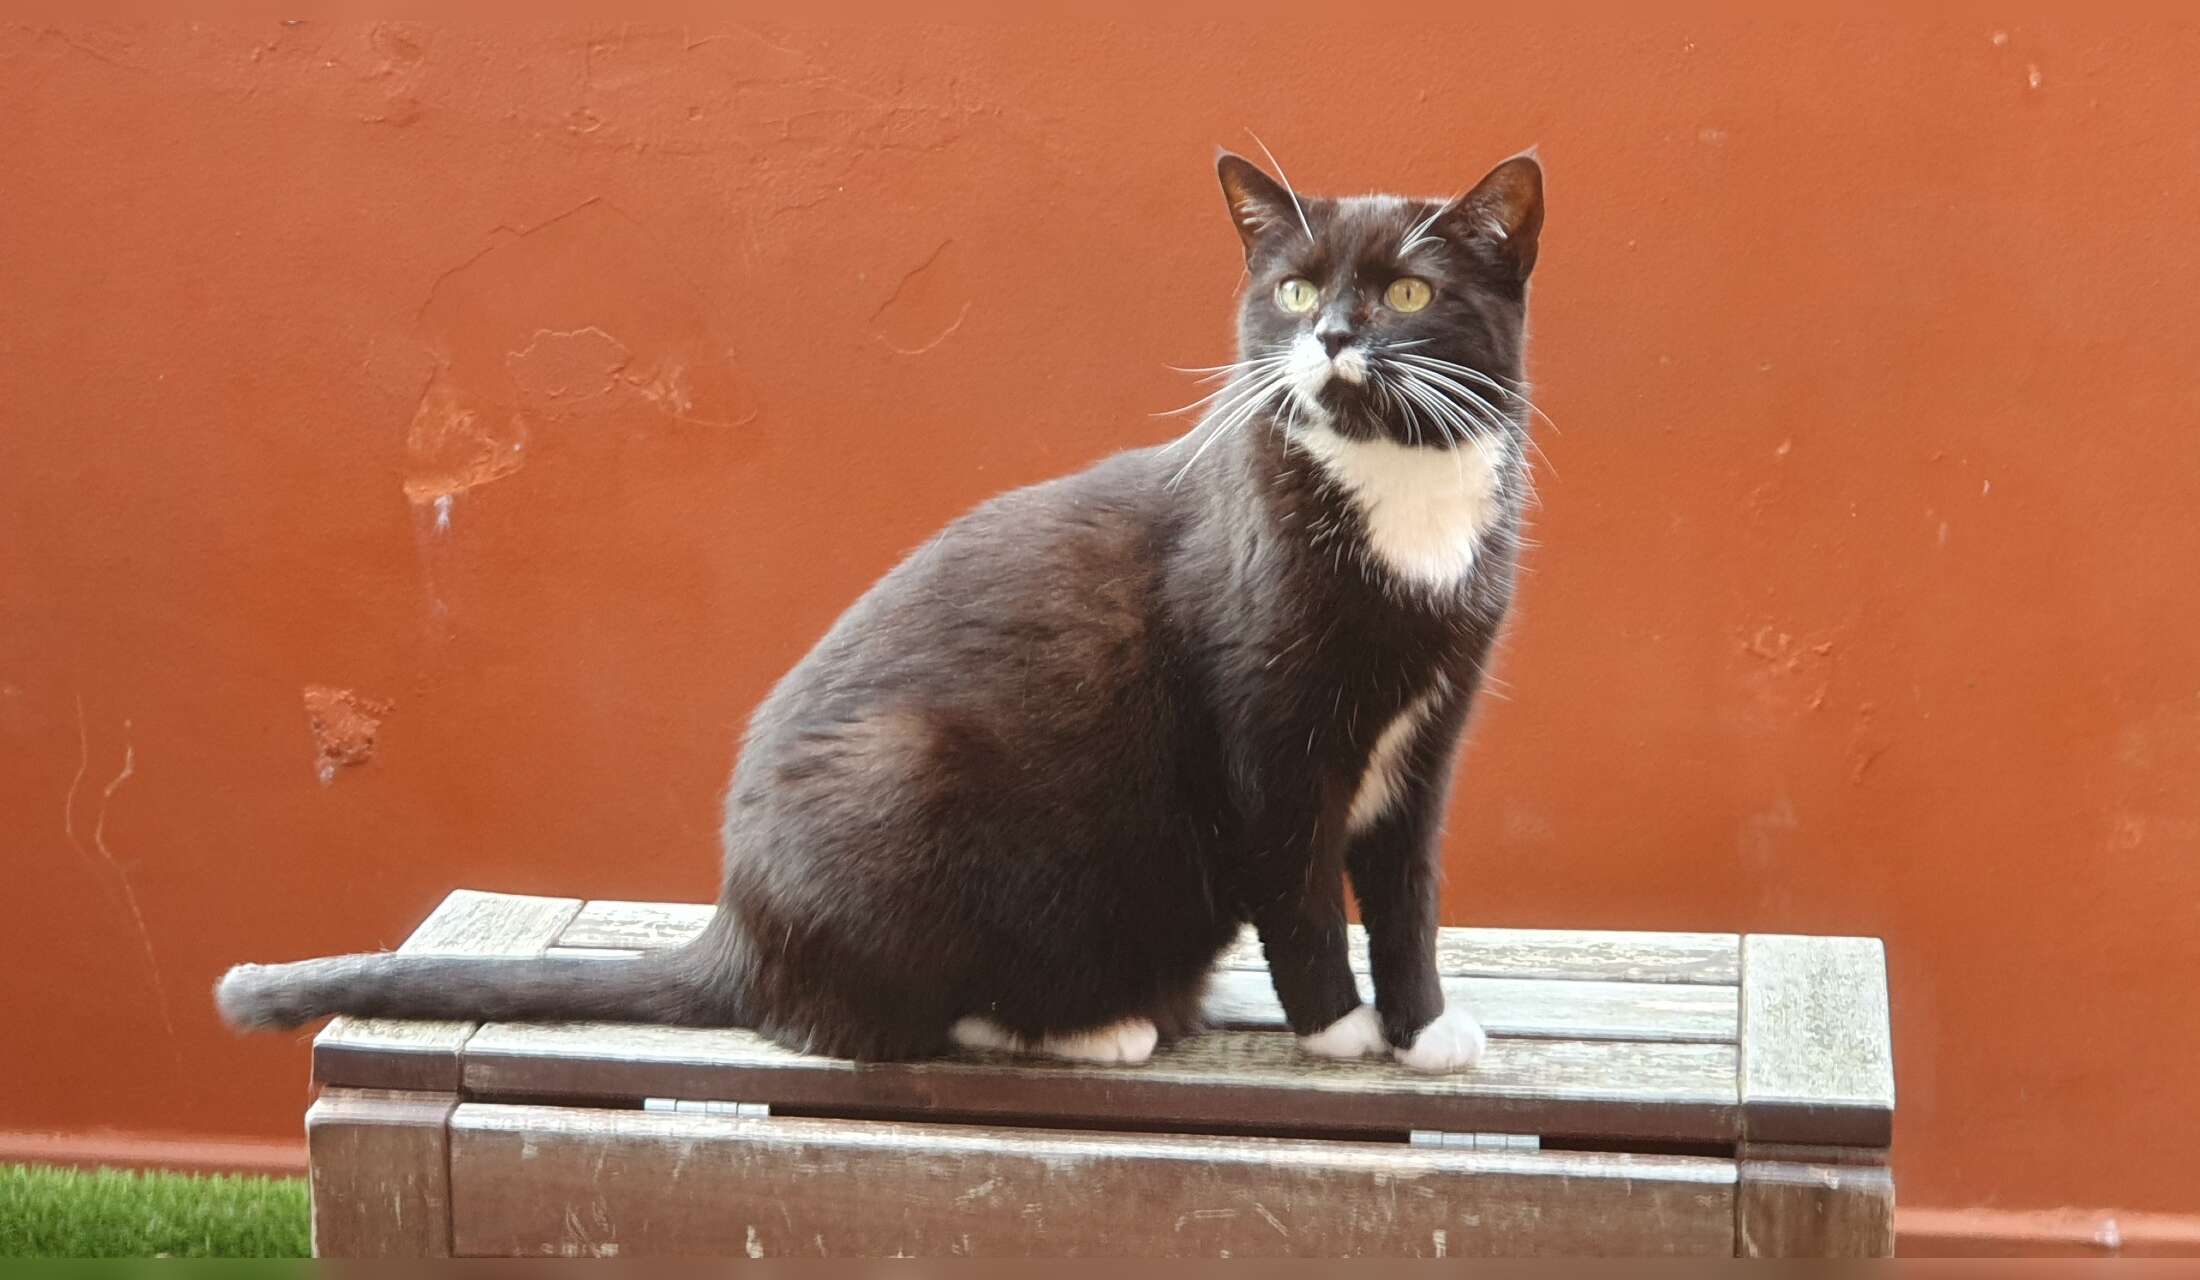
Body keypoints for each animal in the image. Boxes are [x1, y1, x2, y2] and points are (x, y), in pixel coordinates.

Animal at [217, 147, 1545, 1074]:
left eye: (1410, 289)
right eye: (1294, 287)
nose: (1330, 338)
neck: (1399, 501)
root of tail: (738, 931)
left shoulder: (1427, 730)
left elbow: (1408, 894)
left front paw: (1423, 1028)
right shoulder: (1265, 736)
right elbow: (1300, 887)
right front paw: (1337, 1030)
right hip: (907, 777)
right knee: (859, 1020)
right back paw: (1079, 1025)